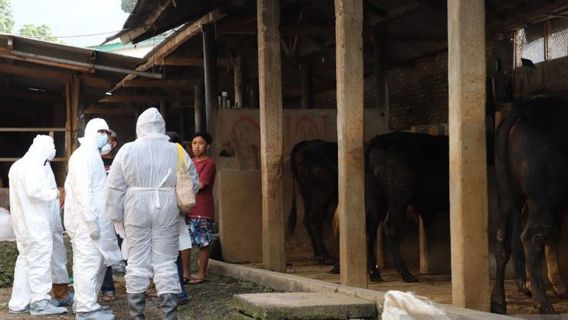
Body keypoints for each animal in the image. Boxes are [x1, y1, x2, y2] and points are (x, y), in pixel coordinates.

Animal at [488, 96, 568, 314]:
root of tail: (523, 111)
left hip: (508, 194)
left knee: (503, 238)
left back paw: (499, 302)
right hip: (544, 198)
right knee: (531, 237)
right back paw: (545, 306)